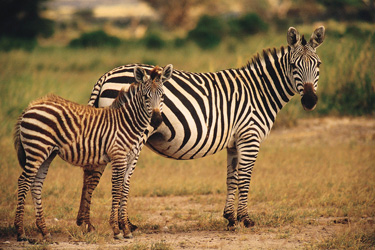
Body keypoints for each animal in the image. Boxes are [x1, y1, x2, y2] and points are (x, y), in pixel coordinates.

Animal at [13, 64, 174, 240]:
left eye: (162, 95)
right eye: (146, 96)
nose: (157, 121)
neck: (129, 122)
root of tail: (30, 107)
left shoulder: (131, 159)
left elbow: (125, 190)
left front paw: (125, 229)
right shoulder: (118, 156)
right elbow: (117, 188)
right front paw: (116, 229)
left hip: (47, 153)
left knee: (36, 184)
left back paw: (44, 230)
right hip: (37, 149)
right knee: (24, 181)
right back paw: (20, 232)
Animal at [77, 25, 326, 230]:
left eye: (318, 65)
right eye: (293, 65)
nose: (310, 101)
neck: (260, 91)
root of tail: (106, 75)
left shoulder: (234, 142)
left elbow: (232, 178)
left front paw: (230, 218)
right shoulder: (250, 137)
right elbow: (245, 177)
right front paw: (245, 219)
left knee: (93, 174)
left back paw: (89, 223)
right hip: (128, 134)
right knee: (122, 175)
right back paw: (122, 224)